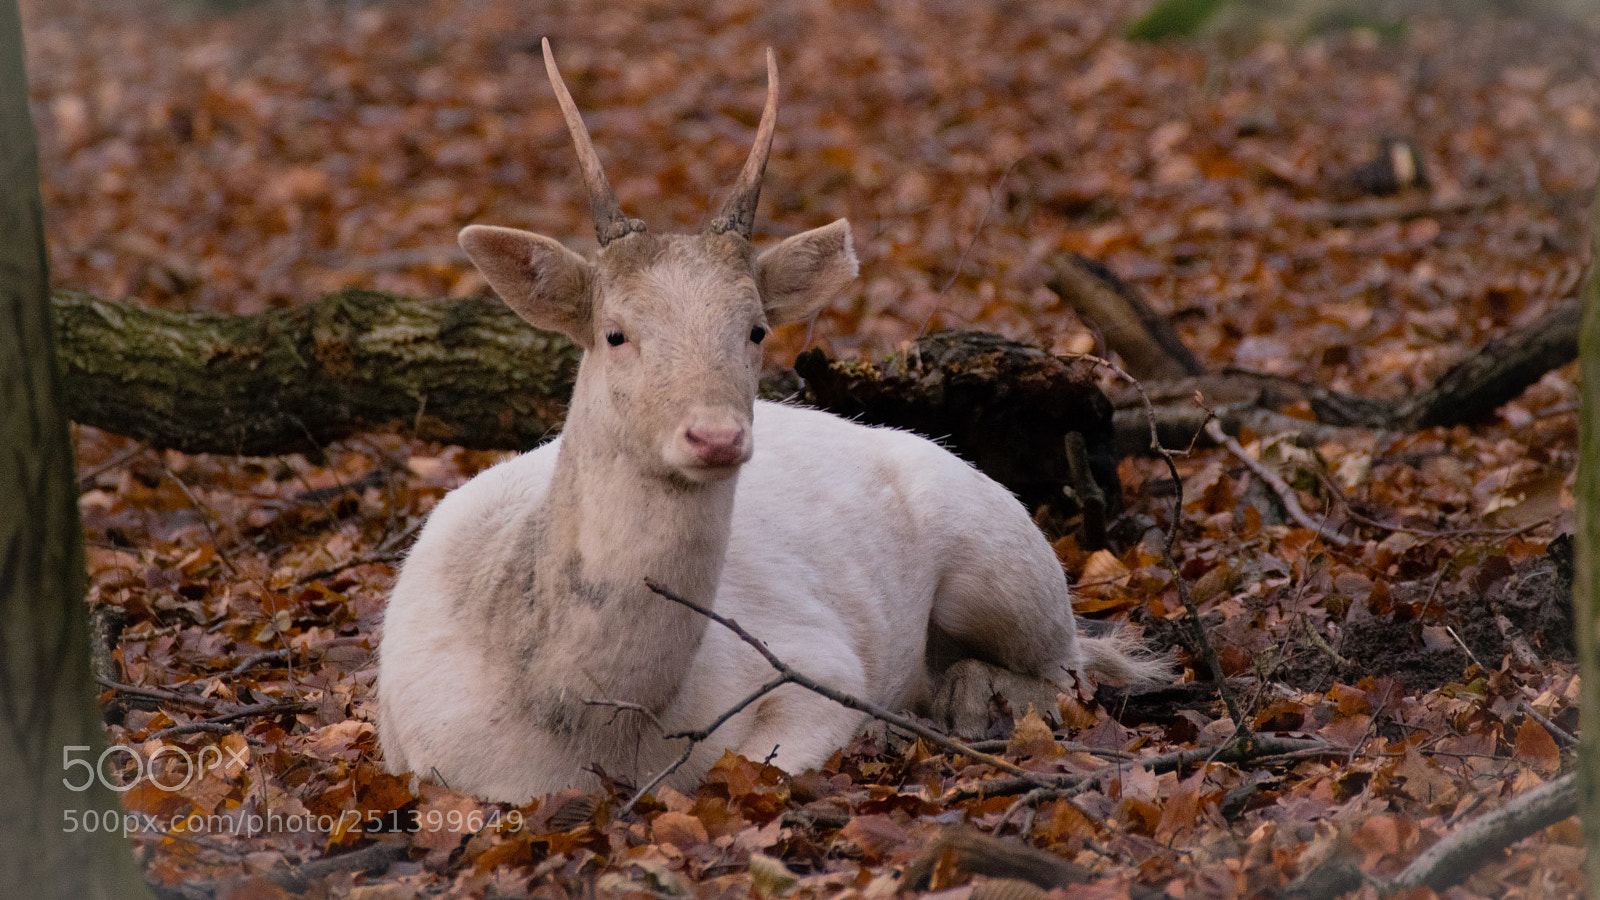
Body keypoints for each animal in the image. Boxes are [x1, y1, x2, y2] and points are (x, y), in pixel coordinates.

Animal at [375, 41, 1168, 803]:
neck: (592, 733)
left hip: (1008, 563)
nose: (715, 436)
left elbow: (775, 760)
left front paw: (889, 724)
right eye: (614, 332)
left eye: (755, 328)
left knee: (1076, 668)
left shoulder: (814, 659)